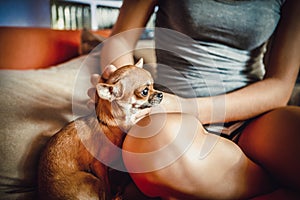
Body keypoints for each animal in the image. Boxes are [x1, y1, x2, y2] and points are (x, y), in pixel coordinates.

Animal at [38, 58, 164, 199]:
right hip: (92, 179)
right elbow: (107, 186)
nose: (160, 94)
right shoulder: (98, 165)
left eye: (154, 85)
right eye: (145, 92)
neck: (112, 125)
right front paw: (114, 192)